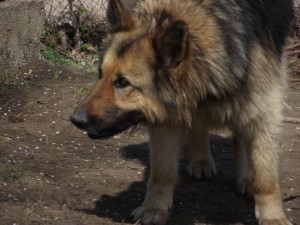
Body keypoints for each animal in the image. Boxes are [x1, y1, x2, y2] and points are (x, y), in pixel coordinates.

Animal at [71, 0, 294, 223]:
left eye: (122, 82)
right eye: (100, 73)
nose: (75, 119)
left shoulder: (263, 109)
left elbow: (265, 177)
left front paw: (273, 217)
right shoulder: (167, 116)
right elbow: (162, 170)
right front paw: (154, 208)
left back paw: (246, 177)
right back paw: (201, 161)